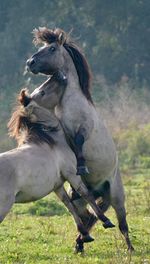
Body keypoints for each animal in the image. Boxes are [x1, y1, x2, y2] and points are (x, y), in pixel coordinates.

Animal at [0, 72, 115, 245]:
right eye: (41, 92)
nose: (59, 75)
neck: (52, 142)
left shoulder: (57, 185)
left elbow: (69, 205)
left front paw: (85, 234)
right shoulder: (72, 174)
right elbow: (86, 194)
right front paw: (106, 221)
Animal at [26, 26, 134, 252]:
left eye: (51, 48)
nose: (29, 63)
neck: (70, 101)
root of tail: (102, 189)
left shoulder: (83, 129)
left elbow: (79, 142)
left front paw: (82, 166)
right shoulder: (64, 130)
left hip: (117, 196)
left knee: (122, 224)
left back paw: (130, 249)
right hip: (85, 200)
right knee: (87, 216)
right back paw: (80, 243)